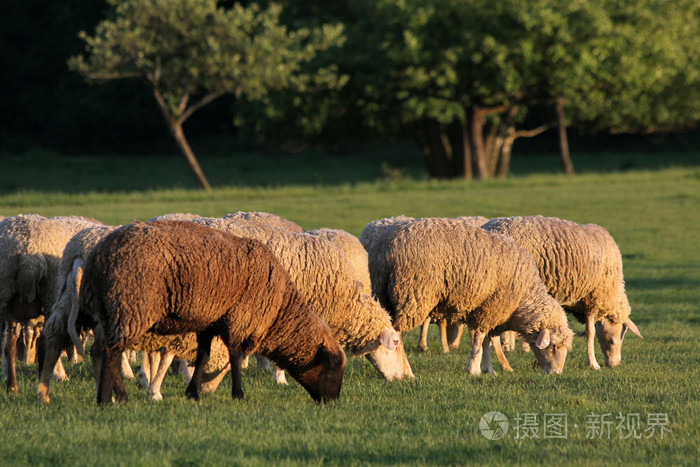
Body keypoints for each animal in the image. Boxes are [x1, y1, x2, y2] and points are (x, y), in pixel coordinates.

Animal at [80, 221, 348, 404]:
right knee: (112, 351)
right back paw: (112, 399)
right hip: (130, 307)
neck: (279, 310)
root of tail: (98, 257)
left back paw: (112, 396)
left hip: (109, 310)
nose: (332, 401)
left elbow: (203, 356)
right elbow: (236, 356)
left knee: (103, 350)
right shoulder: (239, 318)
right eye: (332, 368)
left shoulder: (210, 322)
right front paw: (238, 393)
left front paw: (193, 393)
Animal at [372, 218, 576, 376]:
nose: (556, 373)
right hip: (412, 295)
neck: (523, 298)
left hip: (383, 293)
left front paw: (488, 369)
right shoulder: (491, 307)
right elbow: (479, 340)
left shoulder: (485, 309)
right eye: (553, 346)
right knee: (398, 334)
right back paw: (406, 371)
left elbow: (485, 341)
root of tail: (387, 247)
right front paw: (474, 369)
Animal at [484, 215, 644, 370]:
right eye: (621, 335)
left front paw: (538, 361)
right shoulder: (593, 300)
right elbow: (590, 333)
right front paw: (593, 364)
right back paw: (504, 365)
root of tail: (489, 227)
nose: (614, 364)